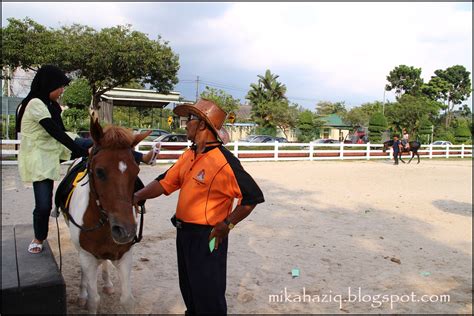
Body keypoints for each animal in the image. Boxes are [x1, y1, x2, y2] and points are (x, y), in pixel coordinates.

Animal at [64, 115, 150, 312]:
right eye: (99, 171)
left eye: (136, 171)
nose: (125, 231)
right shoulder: (87, 256)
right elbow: (93, 300)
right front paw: (86, 296)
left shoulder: (125, 256)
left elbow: (127, 300)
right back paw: (82, 294)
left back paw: (108, 284)